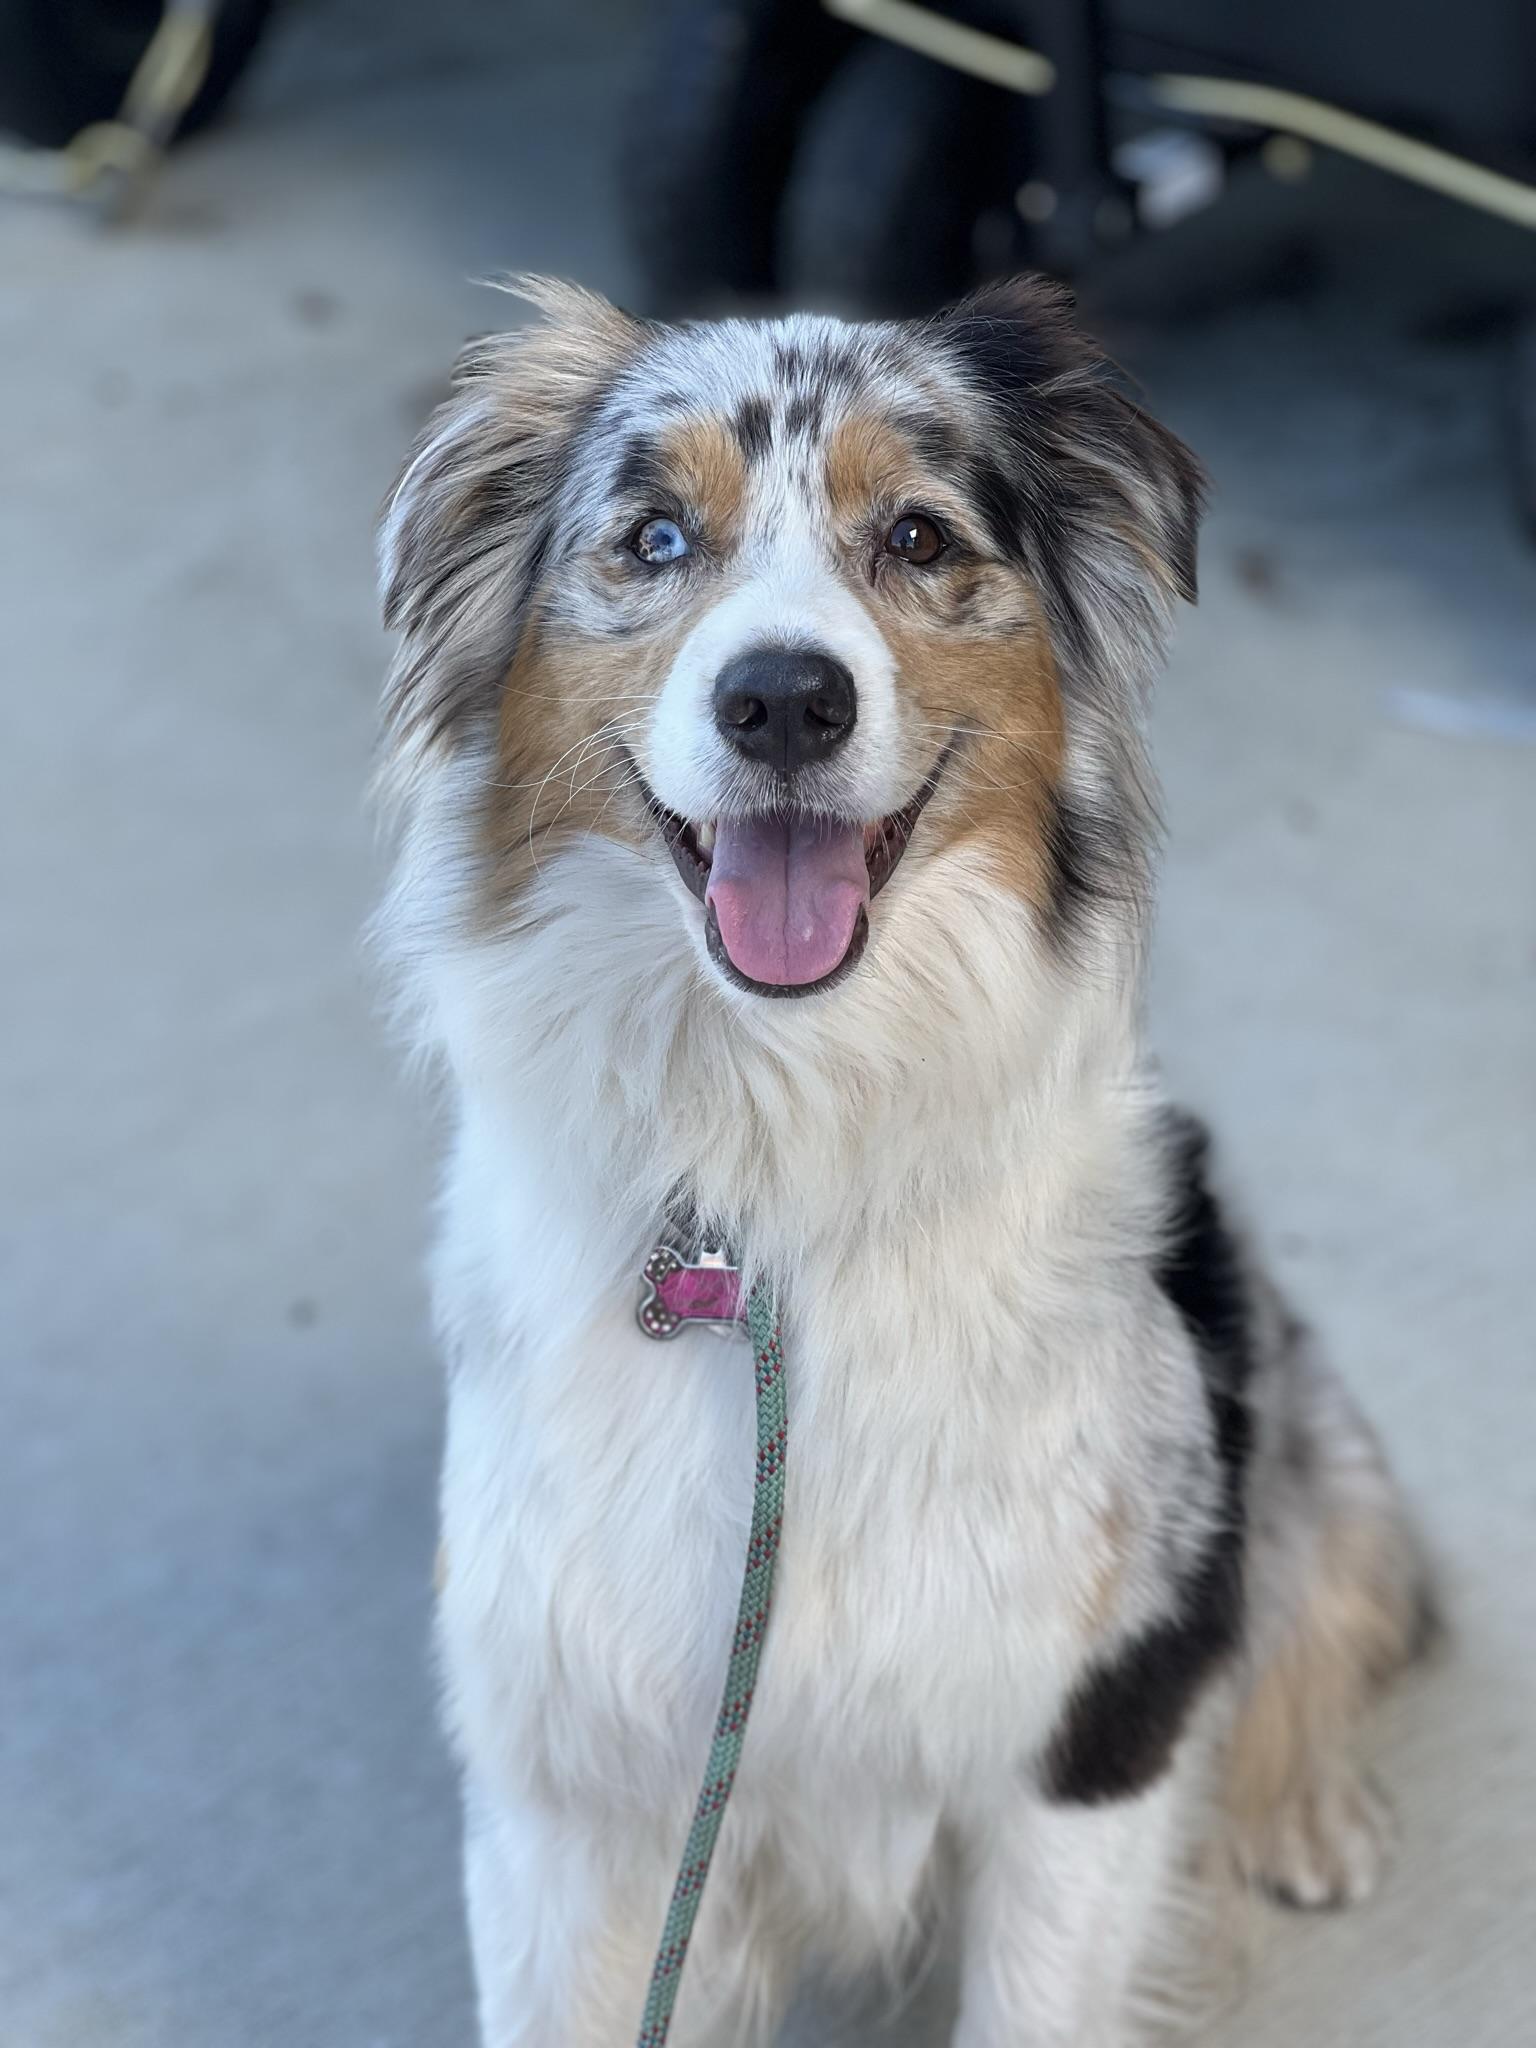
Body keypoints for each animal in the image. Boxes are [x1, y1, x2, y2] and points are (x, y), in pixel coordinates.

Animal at [374, 276, 1430, 2046]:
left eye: (920, 536)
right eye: (655, 539)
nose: (784, 700)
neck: (779, 1175)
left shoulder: (1088, 1737)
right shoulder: (562, 1775)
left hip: (1273, 1403)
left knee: (1336, 1568)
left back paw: (1308, 1808)